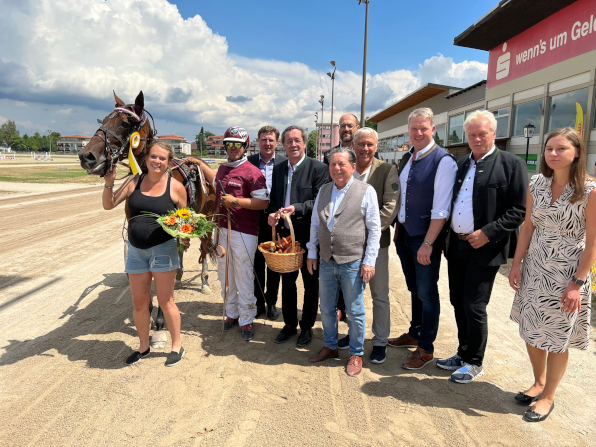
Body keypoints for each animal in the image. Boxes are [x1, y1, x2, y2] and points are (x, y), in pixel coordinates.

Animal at [78, 91, 219, 350]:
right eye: (103, 119)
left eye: (125, 123)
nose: (87, 156)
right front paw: (150, 313)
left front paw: (161, 322)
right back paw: (181, 275)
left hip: (208, 216)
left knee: (204, 247)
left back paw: (204, 281)